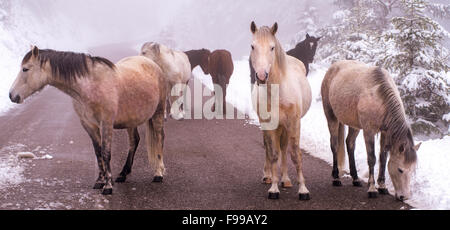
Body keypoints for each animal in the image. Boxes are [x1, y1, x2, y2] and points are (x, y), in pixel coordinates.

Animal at [8, 45, 167, 195]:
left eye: (25, 69)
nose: (12, 95)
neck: (91, 85)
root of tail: (152, 64)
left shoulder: (106, 124)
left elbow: (106, 153)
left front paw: (108, 187)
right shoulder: (89, 125)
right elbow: (98, 152)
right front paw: (100, 181)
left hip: (158, 113)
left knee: (159, 139)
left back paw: (158, 174)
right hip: (131, 120)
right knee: (134, 141)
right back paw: (123, 174)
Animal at [250, 22, 312, 200]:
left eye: (272, 48)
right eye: (252, 46)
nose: (261, 76)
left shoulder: (294, 123)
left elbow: (295, 155)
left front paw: (303, 189)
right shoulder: (270, 124)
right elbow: (273, 154)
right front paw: (274, 188)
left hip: (285, 126)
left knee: (284, 148)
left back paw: (286, 179)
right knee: (270, 148)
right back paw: (268, 176)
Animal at [320, 60, 422, 200]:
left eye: (412, 170)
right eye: (400, 169)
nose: (404, 197)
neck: (380, 98)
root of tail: (333, 67)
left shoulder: (385, 133)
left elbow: (383, 158)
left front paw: (382, 186)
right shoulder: (369, 131)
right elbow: (372, 158)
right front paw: (372, 188)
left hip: (354, 125)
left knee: (349, 144)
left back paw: (356, 179)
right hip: (331, 117)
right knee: (334, 145)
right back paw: (336, 178)